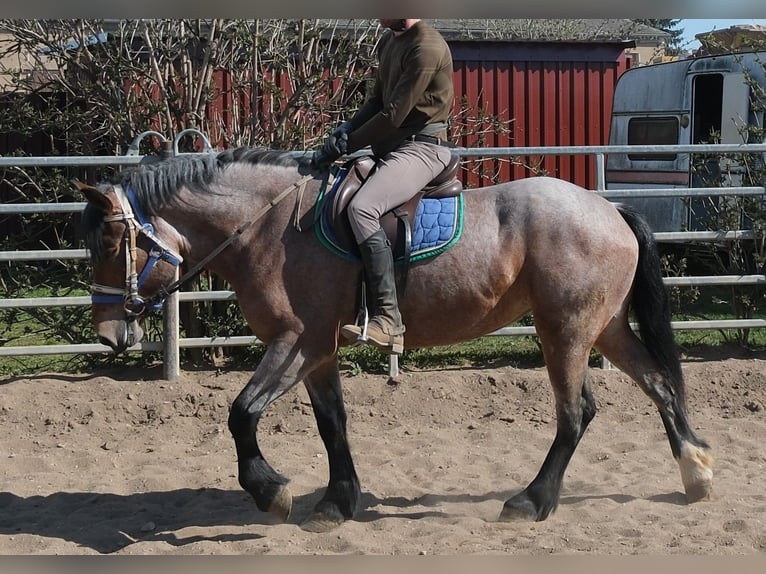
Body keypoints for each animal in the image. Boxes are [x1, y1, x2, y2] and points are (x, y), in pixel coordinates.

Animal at [76, 147, 713, 532]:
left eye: (108, 244)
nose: (108, 334)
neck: (269, 226)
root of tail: (608, 207)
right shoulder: (319, 353)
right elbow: (332, 424)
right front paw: (336, 502)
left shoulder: (297, 342)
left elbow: (241, 413)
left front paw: (270, 491)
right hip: (605, 328)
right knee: (659, 385)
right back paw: (695, 472)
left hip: (567, 331)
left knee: (576, 412)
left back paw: (532, 500)